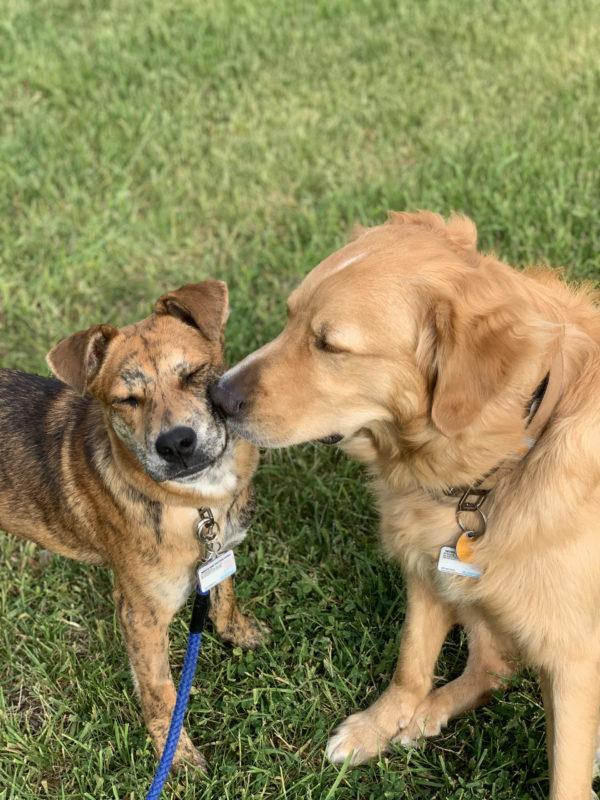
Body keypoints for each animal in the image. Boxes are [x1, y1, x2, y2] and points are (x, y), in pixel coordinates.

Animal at [0, 280, 262, 768]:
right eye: (127, 400)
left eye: (193, 373)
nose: (176, 444)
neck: (196, 501)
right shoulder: (140, 613)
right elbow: (160, 691)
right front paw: (175, 756)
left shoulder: (219, 550)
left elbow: (225, 594)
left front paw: (238, 633)